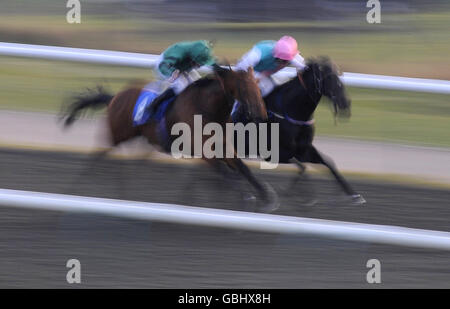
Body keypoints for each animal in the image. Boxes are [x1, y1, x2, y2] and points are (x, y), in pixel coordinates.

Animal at [60, 66, 278, 211]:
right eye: (244, 88)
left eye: (258, 86)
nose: (261, 114)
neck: (208, 109)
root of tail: (114, 97)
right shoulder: (203, 152)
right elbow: (225, 173)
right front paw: (246, 196)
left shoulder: (224, 147)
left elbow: (243, 168)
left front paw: (266, 196)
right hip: (117, 135)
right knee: (97, 157)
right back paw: (75, 187)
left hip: (143, 140)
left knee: (128, 165)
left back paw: (127, 194)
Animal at [234, 57, 368, 205]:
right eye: (329, 78)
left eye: (340, 75)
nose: (345, 103)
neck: (290, 111)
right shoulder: (274, 154)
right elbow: (303, 167)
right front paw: (302, 194)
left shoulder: (304, 149)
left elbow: (328, 163)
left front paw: (354, 194)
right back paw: (248, 194)